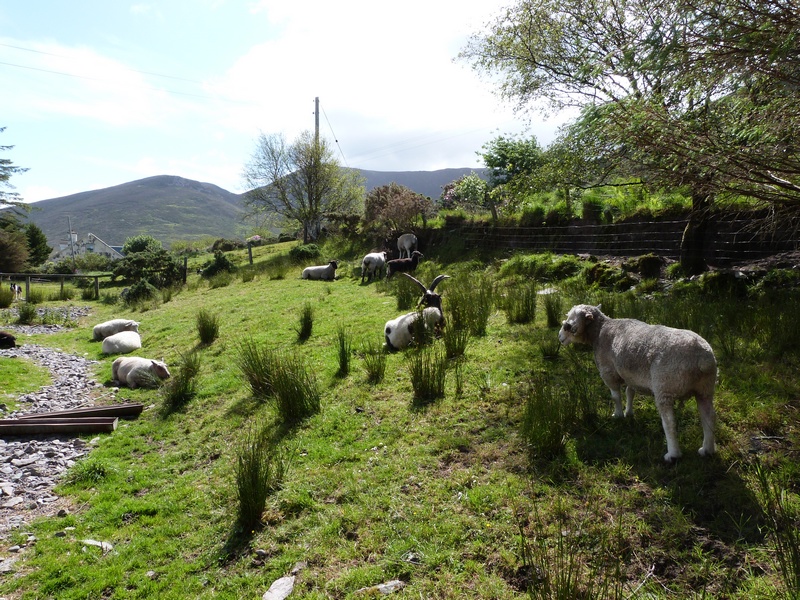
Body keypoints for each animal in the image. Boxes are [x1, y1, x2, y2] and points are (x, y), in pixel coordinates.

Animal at [556, 302, 720, 462]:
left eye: (568, 325)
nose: (559, 337)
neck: (599, 331)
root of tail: (702, 358)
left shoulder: (608, 372)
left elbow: (615, 396)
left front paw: (618, 415)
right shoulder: (630, 374)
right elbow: (630, 392)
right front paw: (628, 412)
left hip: (665, 386)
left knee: (669, 422)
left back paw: (672, 454)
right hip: (705, 388)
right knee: (709, 417)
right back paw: (707, 450)